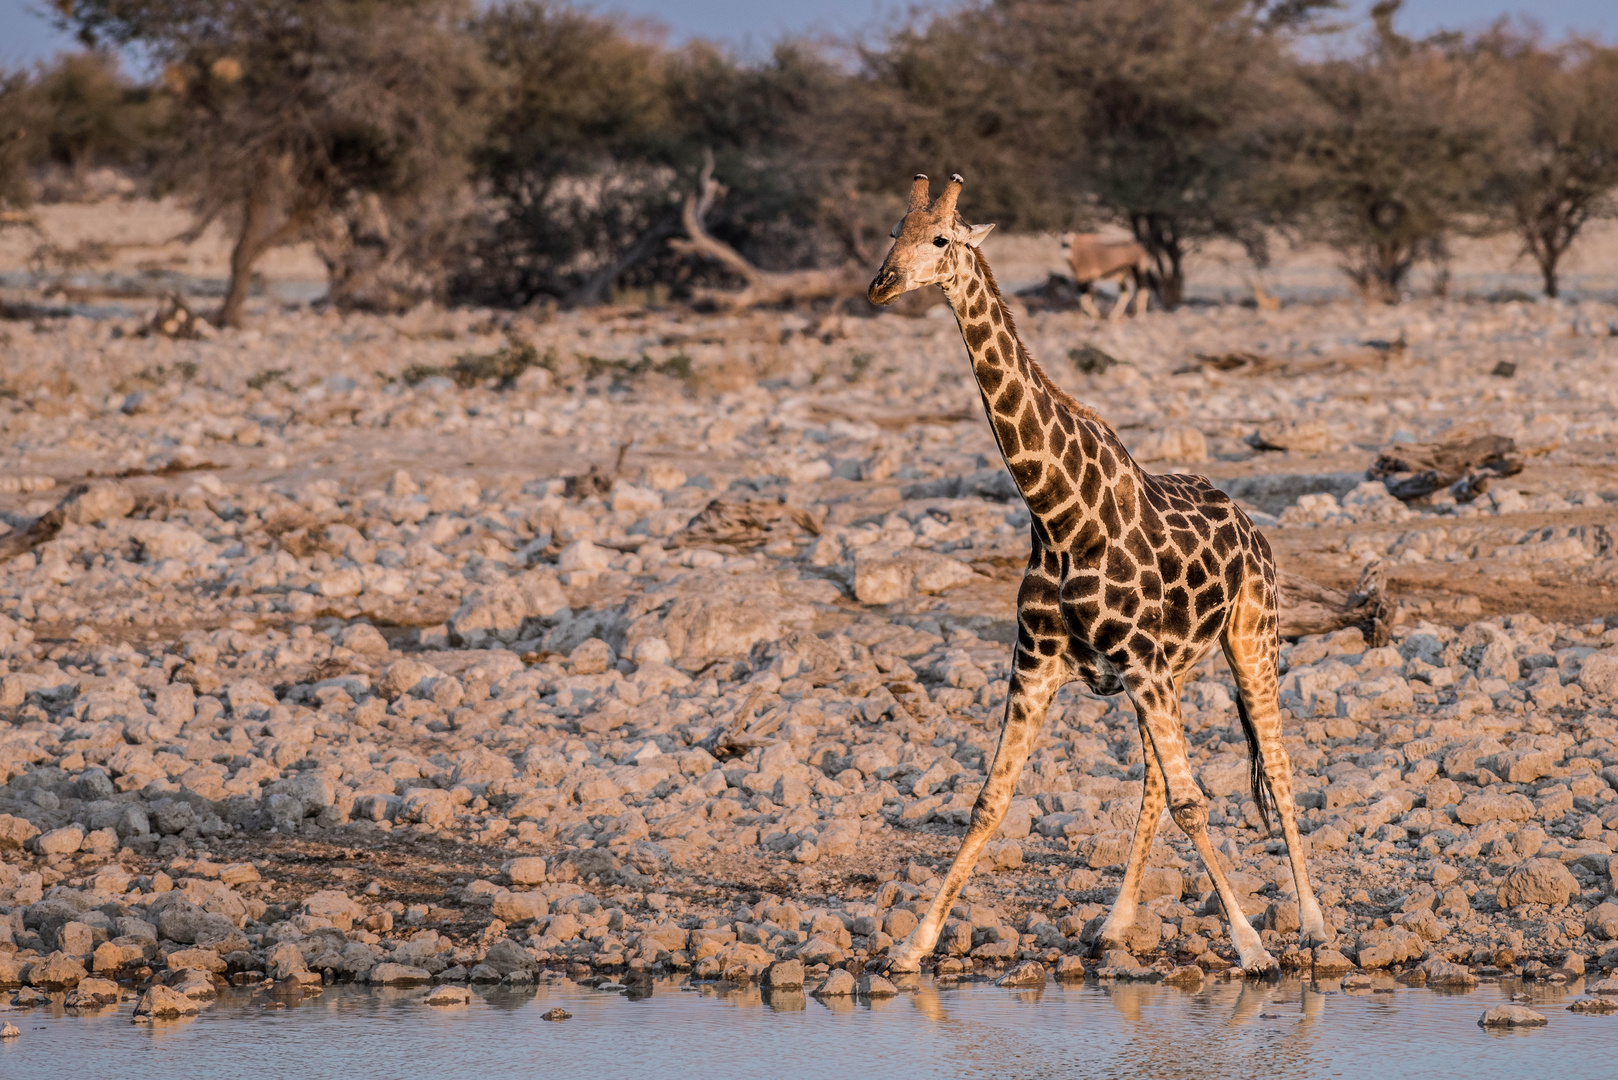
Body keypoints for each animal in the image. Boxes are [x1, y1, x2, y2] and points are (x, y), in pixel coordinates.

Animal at [867, 175, 1320, 971]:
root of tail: (1253, 527)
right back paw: (1114, 924)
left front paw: (1252, 946)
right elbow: (989, 802)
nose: (883, 283)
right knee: (1154, 784)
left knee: (1279, 765)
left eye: (941, 238)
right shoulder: (1039, 665)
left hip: (1251, 639)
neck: (1055, 515)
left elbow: (1196, 801)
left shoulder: (1139, 664)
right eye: (895, 230)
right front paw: (913, 945)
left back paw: (1316, 922)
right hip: (1170, 671)